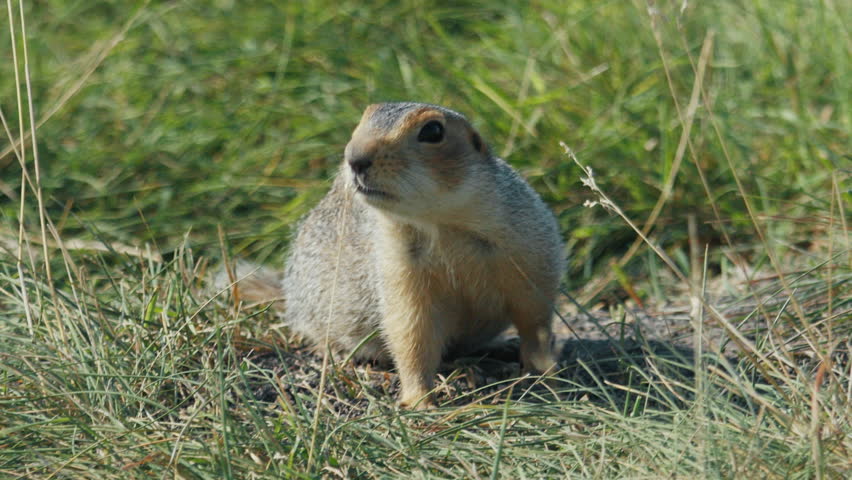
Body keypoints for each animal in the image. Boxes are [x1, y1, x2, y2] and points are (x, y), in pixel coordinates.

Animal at [226, 102, 565, 409]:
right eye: (364, 117)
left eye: (433, 131)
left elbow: (534, 316)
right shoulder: (398, 266)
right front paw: (419, 400)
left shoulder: (529, 248)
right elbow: (412, 332)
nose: (354, 158)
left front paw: (544, 367)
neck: (442, 224)